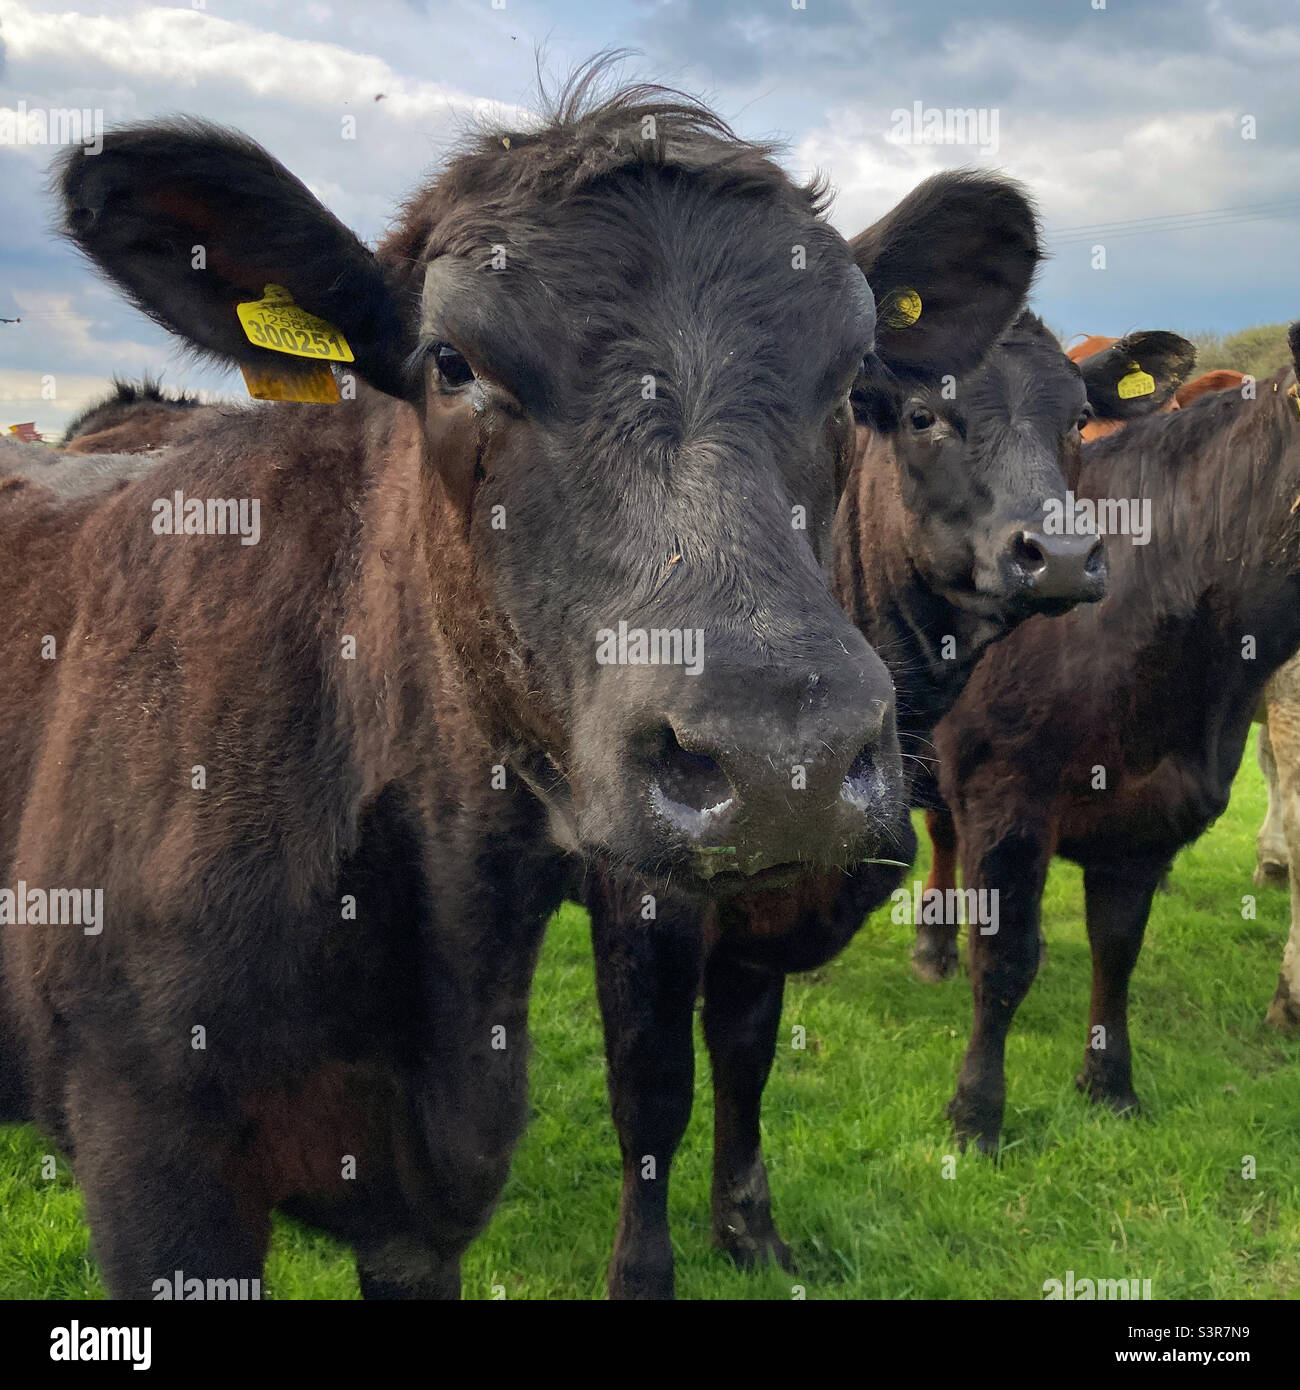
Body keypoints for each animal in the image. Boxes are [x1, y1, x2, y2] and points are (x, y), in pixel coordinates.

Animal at [586, 304, 1117, 1299]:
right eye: (923, 416)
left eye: (1076, 419)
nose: (1060, 556)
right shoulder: (643, 892)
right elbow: (652, 1087)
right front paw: (641, 1269)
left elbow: (745, 1056)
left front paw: (749, 1232)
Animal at [919, 324, 1300, 1154]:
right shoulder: (1006, 794)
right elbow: (1004, 960)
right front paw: (975, 1113)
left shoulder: (1151, 814)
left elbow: (1118, 949)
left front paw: (1110, 1085)